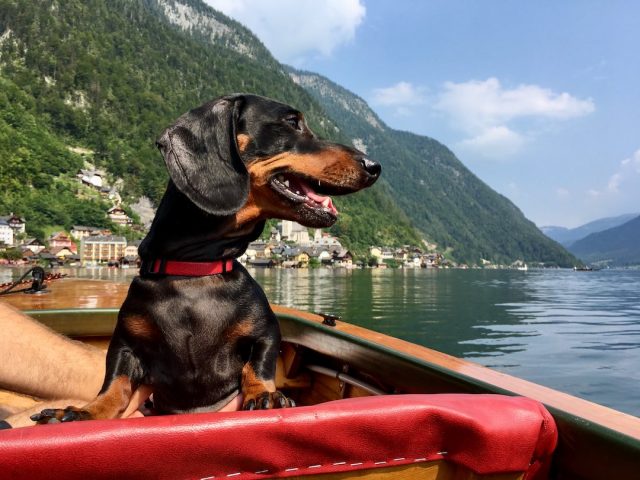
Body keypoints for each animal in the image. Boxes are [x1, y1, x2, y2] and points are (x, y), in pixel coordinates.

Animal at [32, 92, 380, 422]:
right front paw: (83, 412)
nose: (374, 166)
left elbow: (258, 365)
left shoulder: (266, 331)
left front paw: (264, 394)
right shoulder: (124, 344)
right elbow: (114, 385)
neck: (196, 268)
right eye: (293, 122)